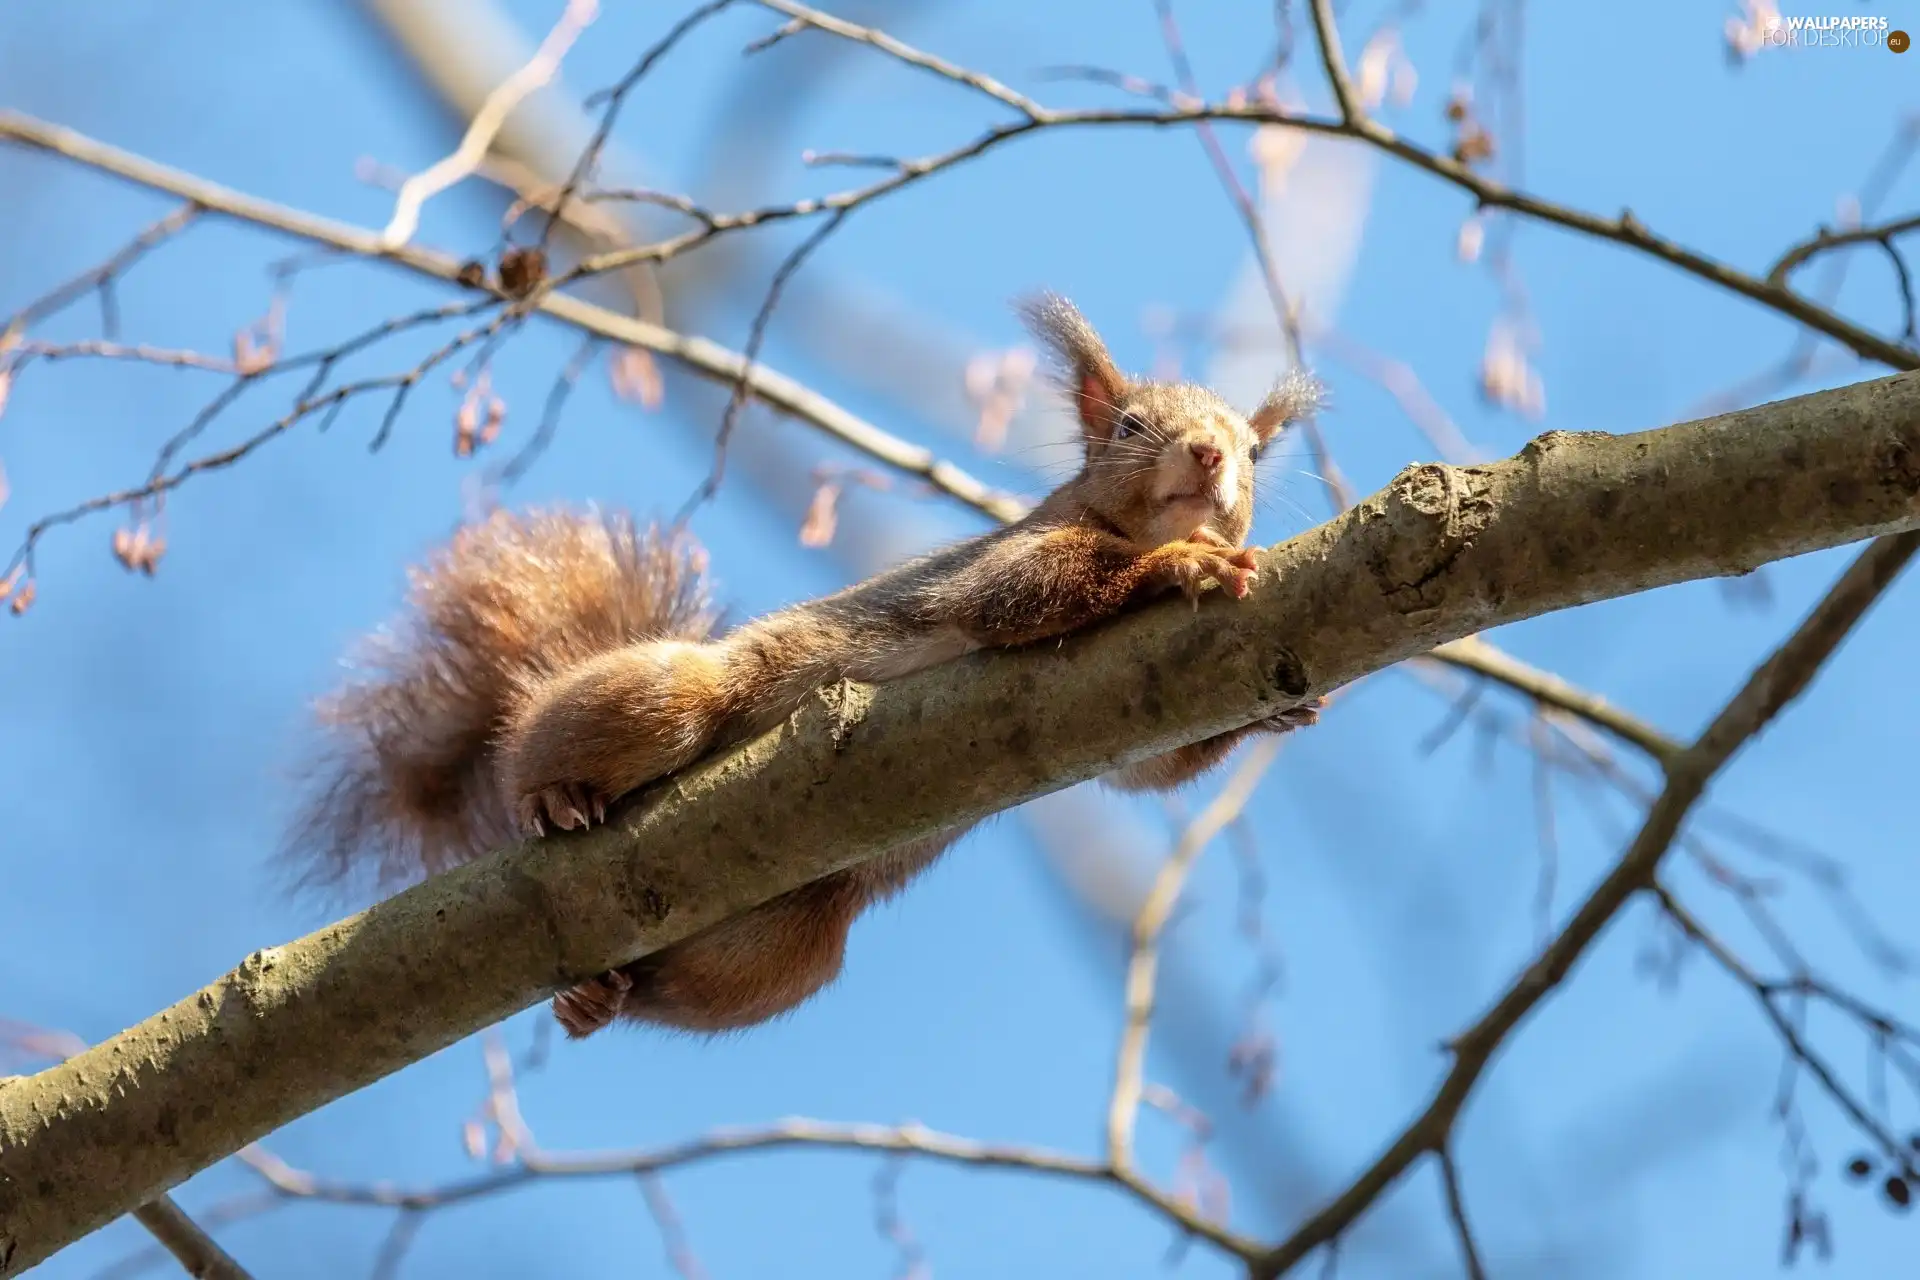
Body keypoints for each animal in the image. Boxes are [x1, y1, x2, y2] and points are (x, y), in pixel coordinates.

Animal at [291, 297, 1328, 1043]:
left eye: (1253, 447)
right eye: (1127, 426)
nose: (1210, 455)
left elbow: (1142, 770)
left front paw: (1283, 712)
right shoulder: (1009, 561)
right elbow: (1021, 595)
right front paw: (1181, 565)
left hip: (782, 949)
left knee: (678, 982)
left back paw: (603, 997)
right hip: (671, 699)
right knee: (571, 741)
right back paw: (552, 798)